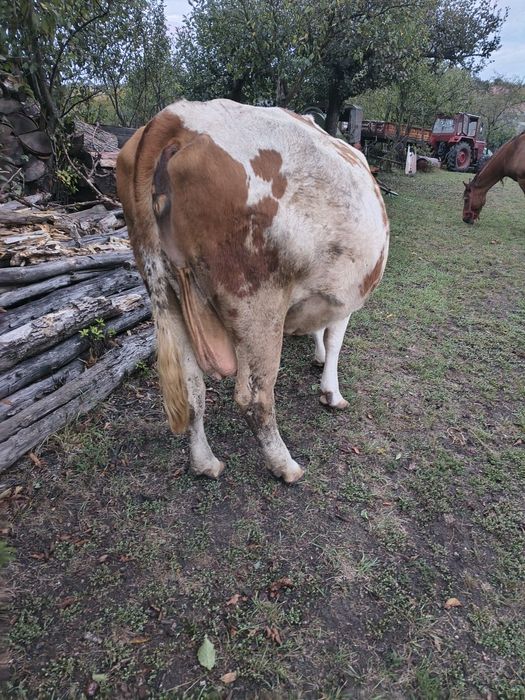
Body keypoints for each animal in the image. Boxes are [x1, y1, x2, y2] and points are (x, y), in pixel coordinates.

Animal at [116, 99, 389, 484]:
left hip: (167, 292)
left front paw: (318, 356)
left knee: (193, 390)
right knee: (255, 398)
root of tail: (174, 117)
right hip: (256, 300)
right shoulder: (345, 295)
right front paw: (331, 392)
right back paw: (285, 466)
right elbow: (335, 340)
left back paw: (206, 463)